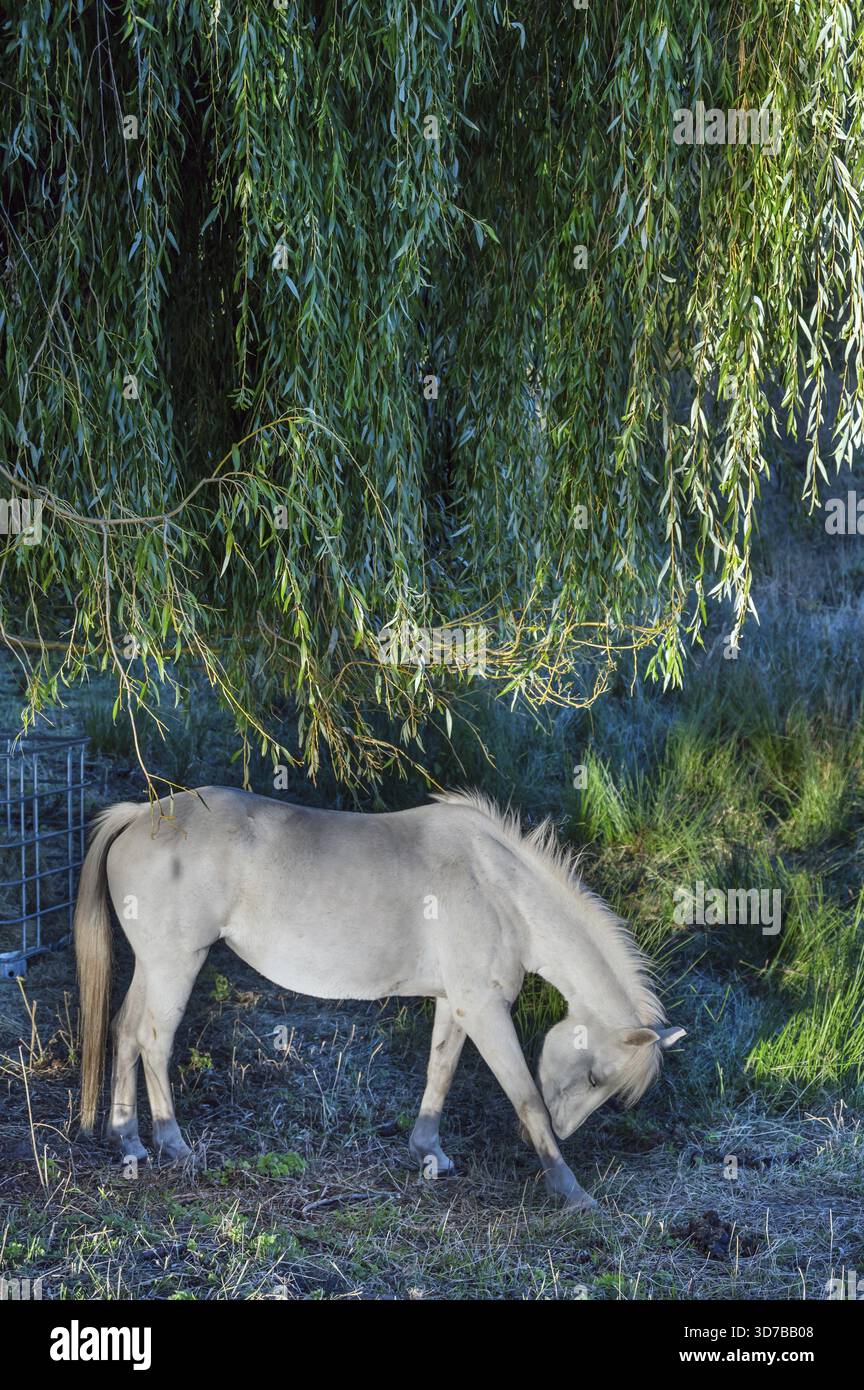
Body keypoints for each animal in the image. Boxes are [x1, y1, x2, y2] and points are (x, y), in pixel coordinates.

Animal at [74, 786, 685, 1210]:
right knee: (154, 1042)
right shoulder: (486, 1012)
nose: (564, 1131)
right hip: (176, 965)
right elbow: (525, 1097)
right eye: (595, 1077)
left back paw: (129, 1143)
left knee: (125, 1031)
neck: (501, 890)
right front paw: (570, 1189)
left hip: (155, 967)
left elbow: (440, 1071)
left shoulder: (457, 1005)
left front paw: (428, 1151)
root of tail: (142, 815)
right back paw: (174, 1145)